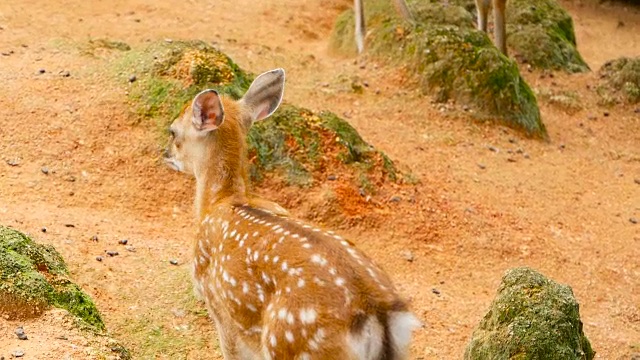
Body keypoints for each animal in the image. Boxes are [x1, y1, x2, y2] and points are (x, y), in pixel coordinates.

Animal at [162, 68, 422, 360]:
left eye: (173, 131)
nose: (165, 153)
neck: (221, 201)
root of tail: (376, 312)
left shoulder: (219, 307)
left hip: (294, 342)